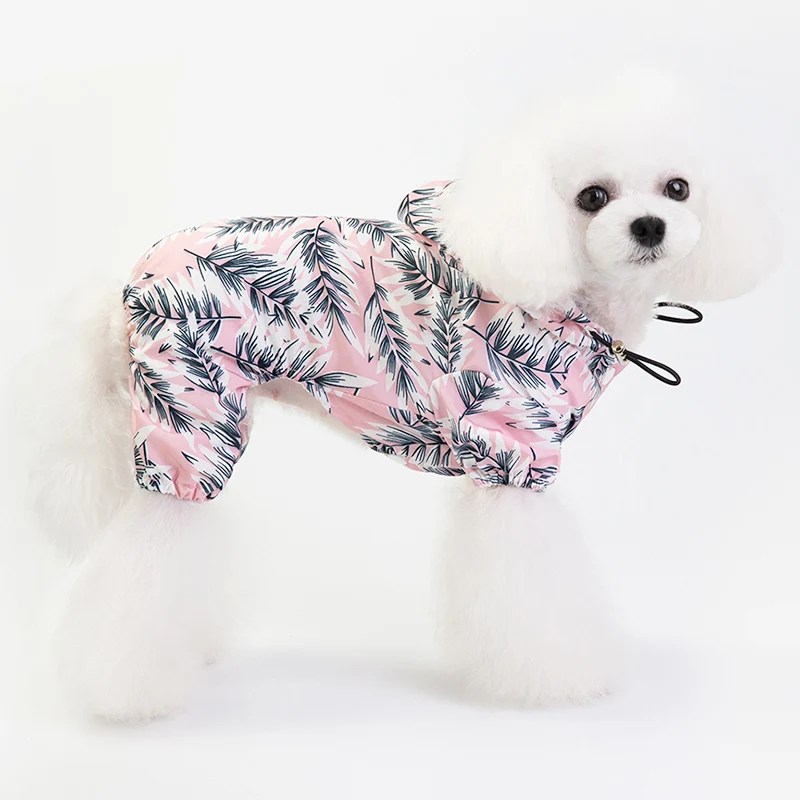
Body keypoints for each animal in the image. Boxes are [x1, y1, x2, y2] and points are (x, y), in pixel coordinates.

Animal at [21, 74, 775, 720]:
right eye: (592, 196)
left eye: (678, 188)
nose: (650, 226)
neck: (555, 292)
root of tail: (127, 283)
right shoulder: (513, 456)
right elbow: (534, 592)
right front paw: (557, 680)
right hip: (190, 419)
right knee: (150, 549)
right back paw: (127, 689)